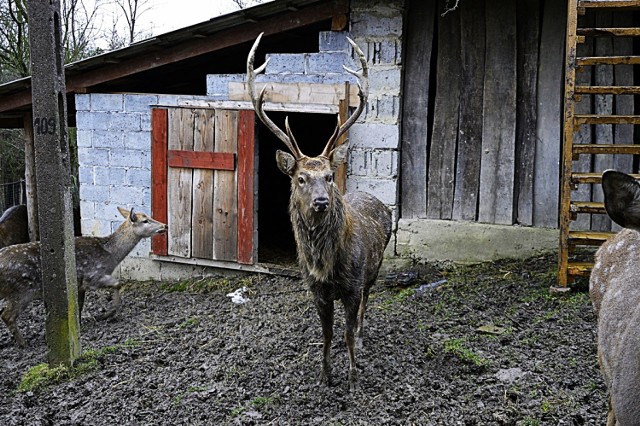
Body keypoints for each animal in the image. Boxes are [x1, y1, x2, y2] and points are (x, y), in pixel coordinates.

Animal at [1, 206, 166, 346]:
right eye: (145, 220)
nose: (164, 225)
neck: (110, 256)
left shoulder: (79, 285)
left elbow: (78, 305)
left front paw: (78, 324)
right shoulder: (92, 276)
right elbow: (118, 283)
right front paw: (107, 314)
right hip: (21, 291)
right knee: (7, 315)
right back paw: (24, 343)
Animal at [248, 32, 392, 392]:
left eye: (328, 176)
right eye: (300, 178)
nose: (322, 202)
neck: (326, 266)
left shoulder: (352, 285)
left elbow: (347, 331)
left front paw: (353, 377)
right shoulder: (316, 291)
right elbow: (326, 335)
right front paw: (325, 375)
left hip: (375, 268)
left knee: (367, 303)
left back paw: (362, 336)